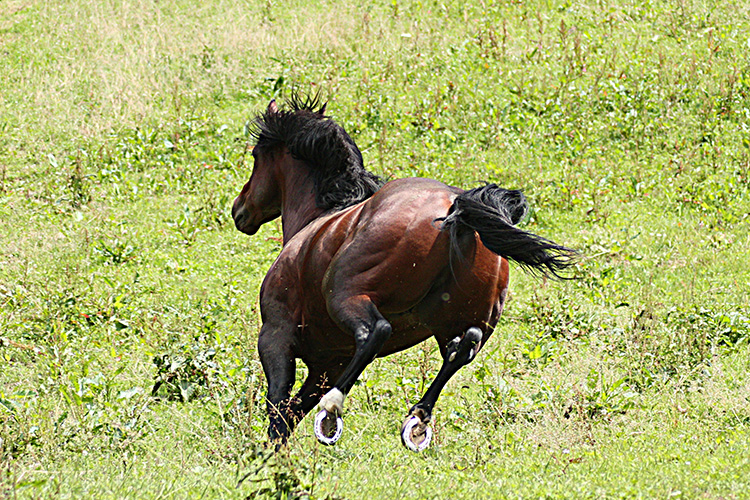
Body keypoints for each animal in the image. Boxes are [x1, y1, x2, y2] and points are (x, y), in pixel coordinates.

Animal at [232, 93, 576, 451]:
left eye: (256, 156)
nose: (239, 210)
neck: (320, 217)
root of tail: (455, 207)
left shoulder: (276, 335)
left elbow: (278, 409)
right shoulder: (327, 363)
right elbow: (289, 414)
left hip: (344, 294)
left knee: (377, 331)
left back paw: (333, 411)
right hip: (458, 320)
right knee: (464, 346)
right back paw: (418, 418)